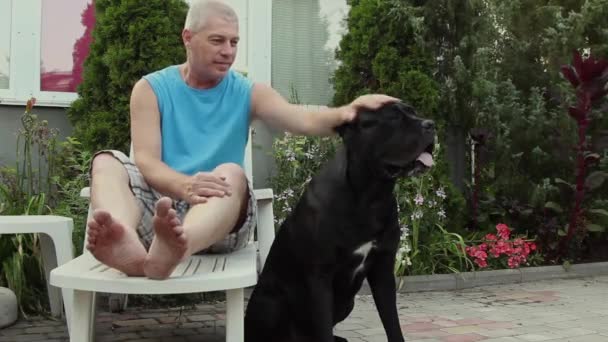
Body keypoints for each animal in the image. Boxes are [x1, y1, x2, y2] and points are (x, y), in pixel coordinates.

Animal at [245, 101, 434, 342]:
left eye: (414, 112)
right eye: (393, 117)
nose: (431, 124)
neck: (371, 196)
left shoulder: (383, 268)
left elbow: (392, 323)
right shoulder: (320, 276)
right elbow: (324, 327)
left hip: (347, 303)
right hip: (271, 303)